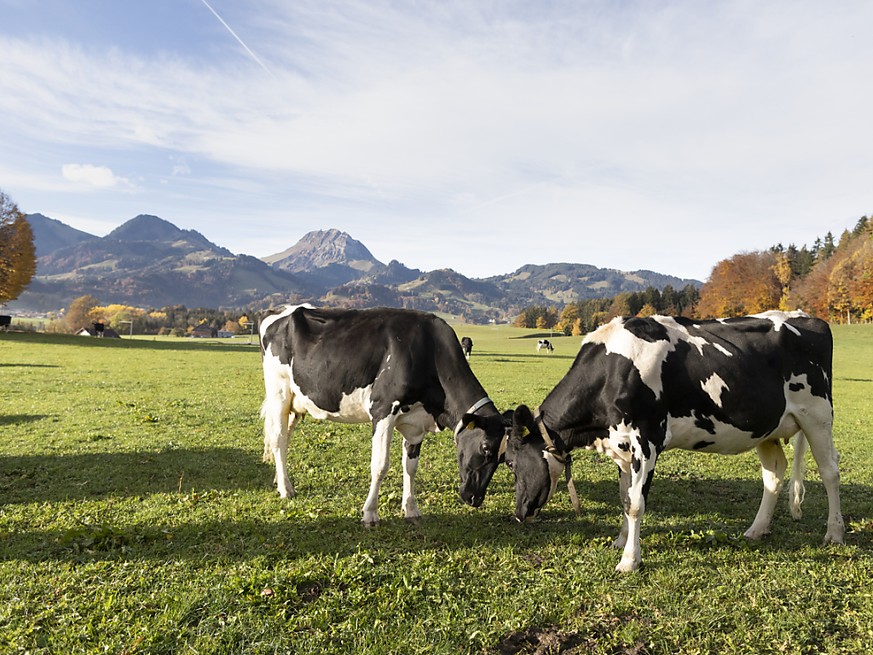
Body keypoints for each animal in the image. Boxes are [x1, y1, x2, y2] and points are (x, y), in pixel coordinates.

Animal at [255, 304, 508, 524]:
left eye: (503, 459)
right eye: (485, 448)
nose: (475, 499)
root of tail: (279, 309)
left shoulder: (416, 423)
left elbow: (410, 467)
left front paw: (411, 509)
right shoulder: (383, 409)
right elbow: (380, 465)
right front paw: (370, 513)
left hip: (295, 402)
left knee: (285, 439)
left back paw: (280, 480)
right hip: (279, 392)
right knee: (278, 438)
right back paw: (286, 489)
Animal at [508, 310, 840, 572]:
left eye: (512, 464)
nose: (519, 514)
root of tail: (808, 317)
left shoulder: (647, 441)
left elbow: (636, 504)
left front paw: (629, 560)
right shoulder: (621, 445)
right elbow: (624, 497)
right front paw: (620, 541)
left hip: (817, 415)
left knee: (830, 472)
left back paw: (834, 533)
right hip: (766, 428)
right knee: (774, 474)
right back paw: (757, 530)